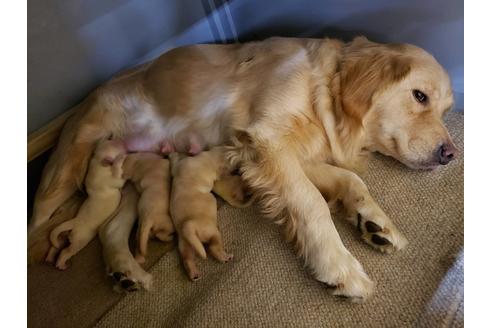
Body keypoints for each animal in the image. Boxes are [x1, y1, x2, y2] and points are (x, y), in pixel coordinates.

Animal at [46, 139, 127, 270]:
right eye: (116, 145)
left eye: (110, 140)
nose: (123, 141)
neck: (98, 160)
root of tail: (74, 221)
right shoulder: (111, 178)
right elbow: (119, 178)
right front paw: (120, 159)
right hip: (80, 239)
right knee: (66, 251)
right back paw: (61, 264)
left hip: (62, 236)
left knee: (56, 246)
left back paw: (49, 257)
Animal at [170, 147, 237, 280]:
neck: (208, 158)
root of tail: (188, 226)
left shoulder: (180, 165)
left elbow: (174, 165)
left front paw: (173, 155)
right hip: (212, 232)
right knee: (213, 248)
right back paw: (225, 257)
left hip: (186, 244)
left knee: (187, 258)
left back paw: (194, 274)